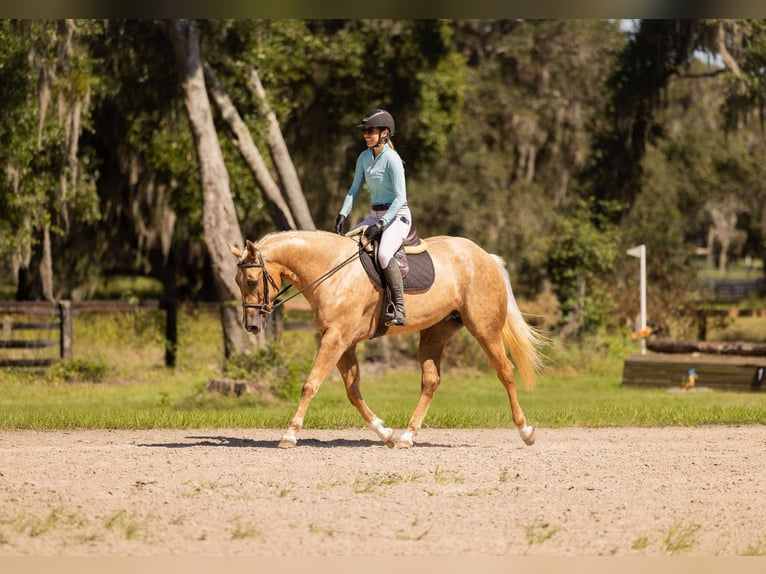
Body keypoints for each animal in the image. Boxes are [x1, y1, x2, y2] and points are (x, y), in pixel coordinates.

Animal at [228, 230, 545, 449]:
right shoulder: (343, 342)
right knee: (431, 382)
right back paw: (407, 436)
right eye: (237, 281)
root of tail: (485, 256)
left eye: (252, 281)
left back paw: (525, 431)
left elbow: (311, 384)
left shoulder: (335, 339)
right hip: (435, 333)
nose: (252, 326)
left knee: (506, 372)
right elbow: (353, 391)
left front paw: (290, 434)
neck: (332, 271)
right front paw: (386, 433)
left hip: (485, 330)